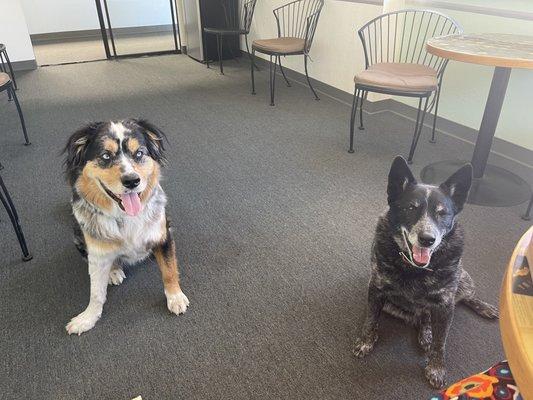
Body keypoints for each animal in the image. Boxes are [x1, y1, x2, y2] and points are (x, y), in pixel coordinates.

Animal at [62, 119, 189, 334]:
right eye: (105, 155)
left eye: (139, 153)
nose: (132, 181)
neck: (126, 217)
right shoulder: (96, 253)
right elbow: (96, 293)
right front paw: (87, 318)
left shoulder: (163, 236)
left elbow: (170, 270)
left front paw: (175, 297)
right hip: (78, 236)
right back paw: (114, 271)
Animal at [354, 155, 498, 388]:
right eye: (411, 208)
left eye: (442, 213)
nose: (427, 239)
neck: (415, 269)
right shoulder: (376, 288)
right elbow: (371, 319)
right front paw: (366, 341)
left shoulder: (446, 305)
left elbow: (441, 343)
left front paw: (436, 368)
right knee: (422, 316)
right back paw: (425, 332)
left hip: (464, 280)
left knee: (462, 299)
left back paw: (482, 308)